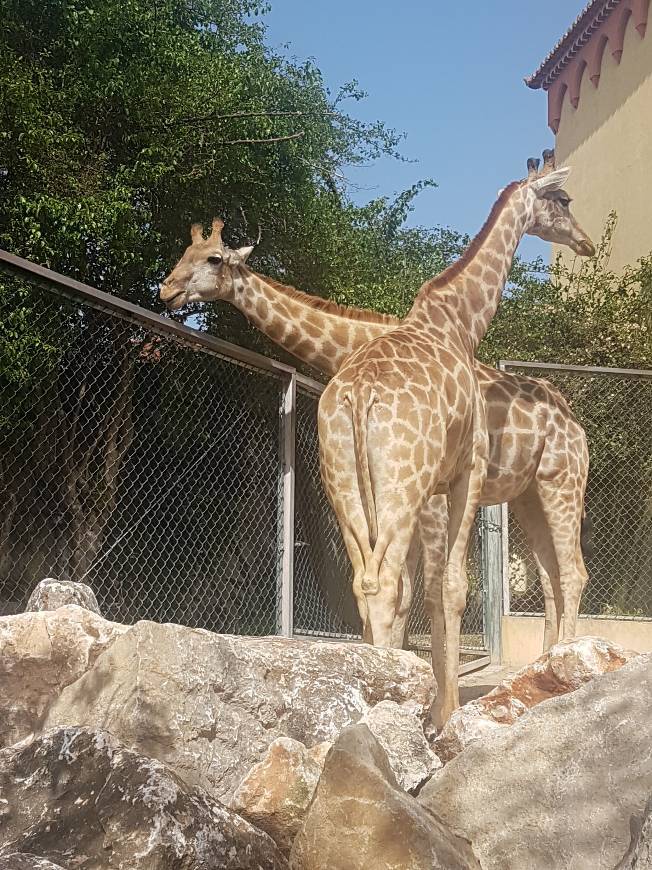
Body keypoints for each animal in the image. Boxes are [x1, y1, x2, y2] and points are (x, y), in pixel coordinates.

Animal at [318, 155, 592, 724]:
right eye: (563, 200)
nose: (585, 242)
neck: (461, 322)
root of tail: (357, 395)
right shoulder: (466, 471)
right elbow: (452, 588)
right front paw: (442, 716)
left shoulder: (442, 485)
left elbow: (433, 592)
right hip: (507, 486)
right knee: (568, 574)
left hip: (344, 483)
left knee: (367, 582)